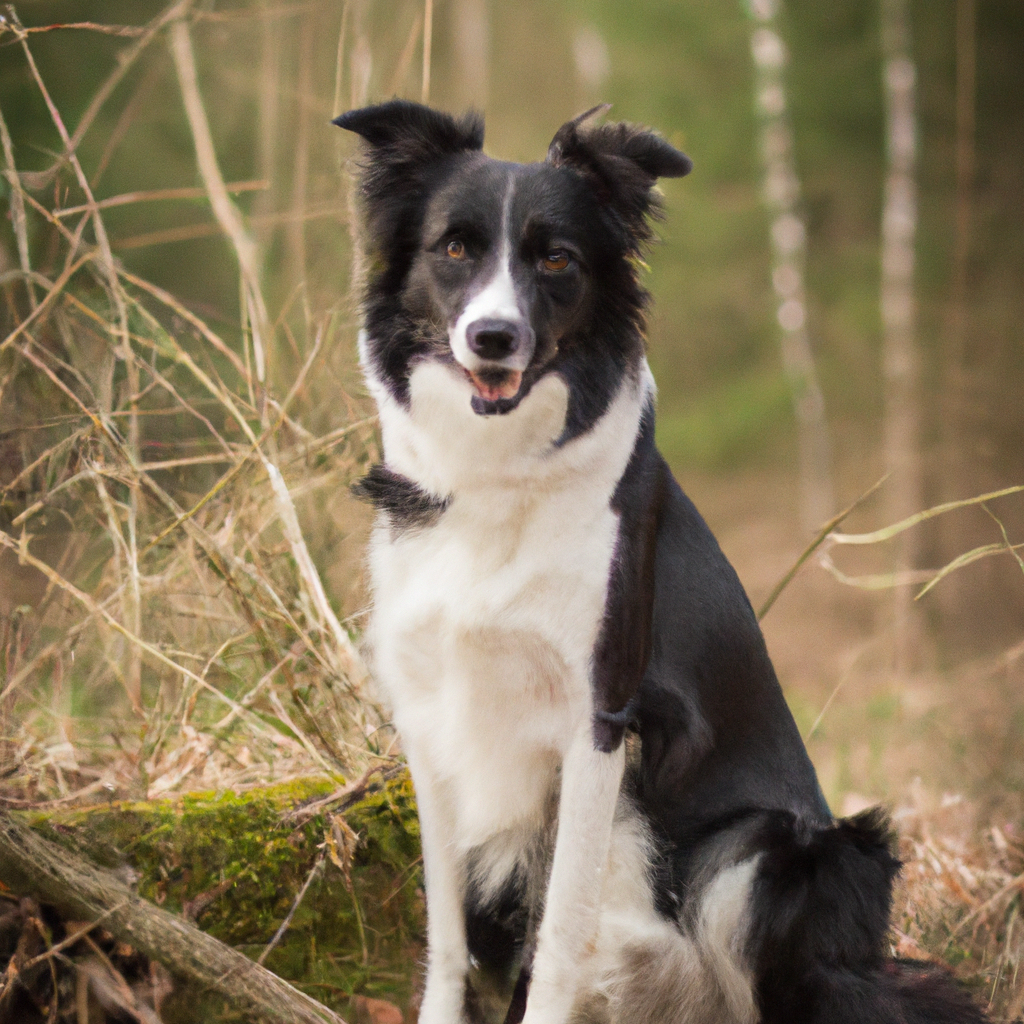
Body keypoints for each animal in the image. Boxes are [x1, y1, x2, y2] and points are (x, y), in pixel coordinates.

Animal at [335, 101, 983, 1024]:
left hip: (780, 852)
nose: (493, 337)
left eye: (557, 259)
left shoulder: (598, 716)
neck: (501, 469)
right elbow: (449, 939)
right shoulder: (432, 712)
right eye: (453, 249)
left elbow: (558, 937)